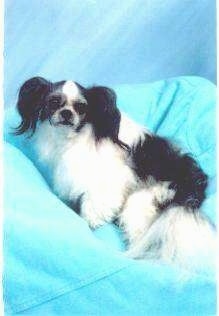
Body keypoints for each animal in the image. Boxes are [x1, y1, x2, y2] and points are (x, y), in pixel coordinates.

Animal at [15, 77, 216, 272]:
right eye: (54, 102)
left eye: (81, 107)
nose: (67, 113)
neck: (73, 137)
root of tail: (191, 187)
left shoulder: (109, 179)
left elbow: (95, 204)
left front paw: (90, 221)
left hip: (142, 201)